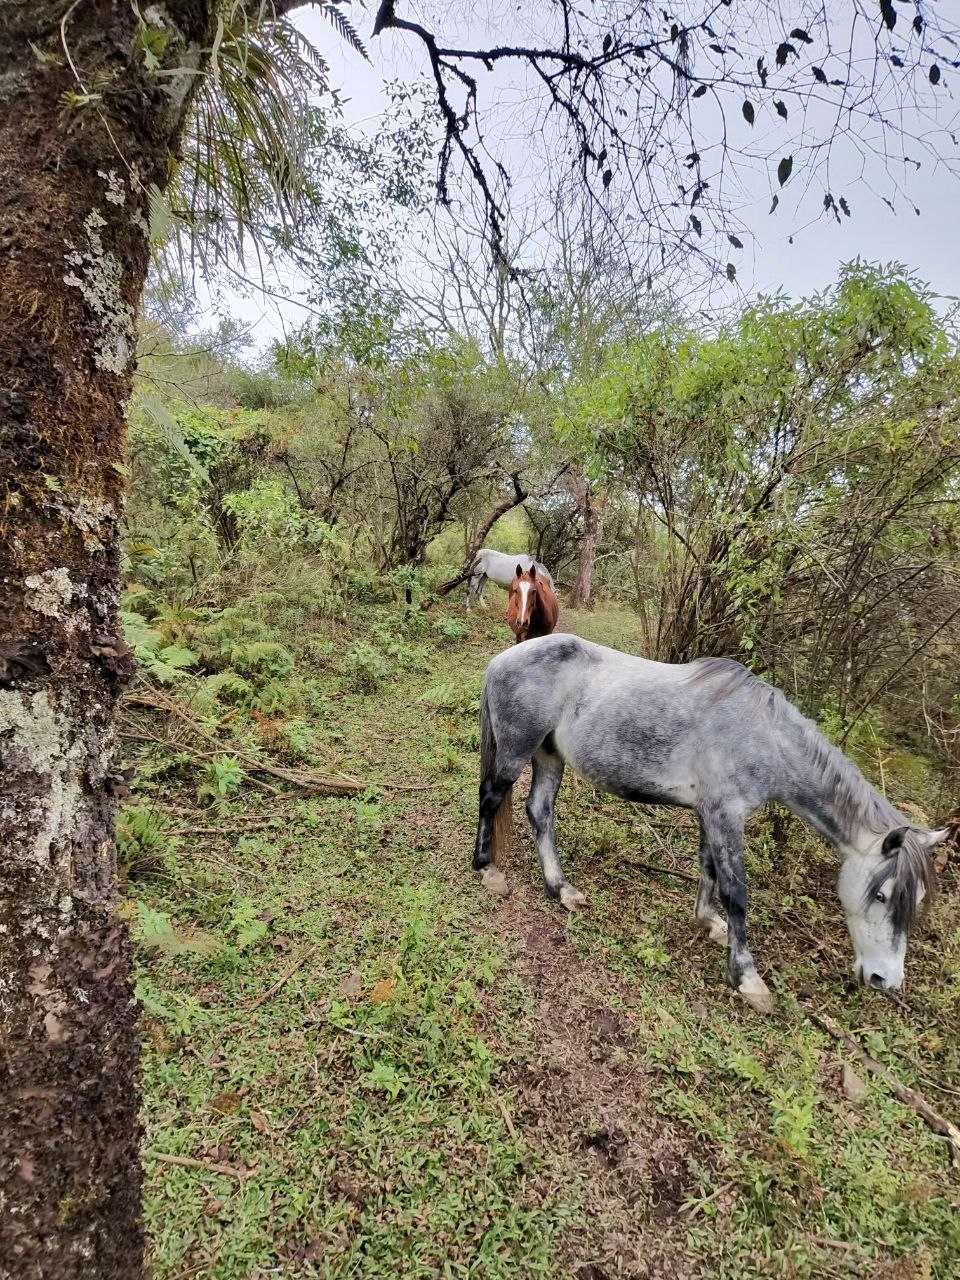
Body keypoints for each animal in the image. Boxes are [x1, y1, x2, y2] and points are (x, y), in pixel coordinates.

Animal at [473, 634, 947, 1013]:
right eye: (882, 895)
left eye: (917, 901)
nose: (885, 979)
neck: (764, 735)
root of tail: (503, 658)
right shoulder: (725, 815)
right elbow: (736, 893)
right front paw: (748, 979)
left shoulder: (710, 815)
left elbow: (709, 870)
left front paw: (706, 921)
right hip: (517, 752)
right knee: (491, 798)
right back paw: (488, 870)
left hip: (550, 755)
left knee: (540, 811)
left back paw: (561, 889)